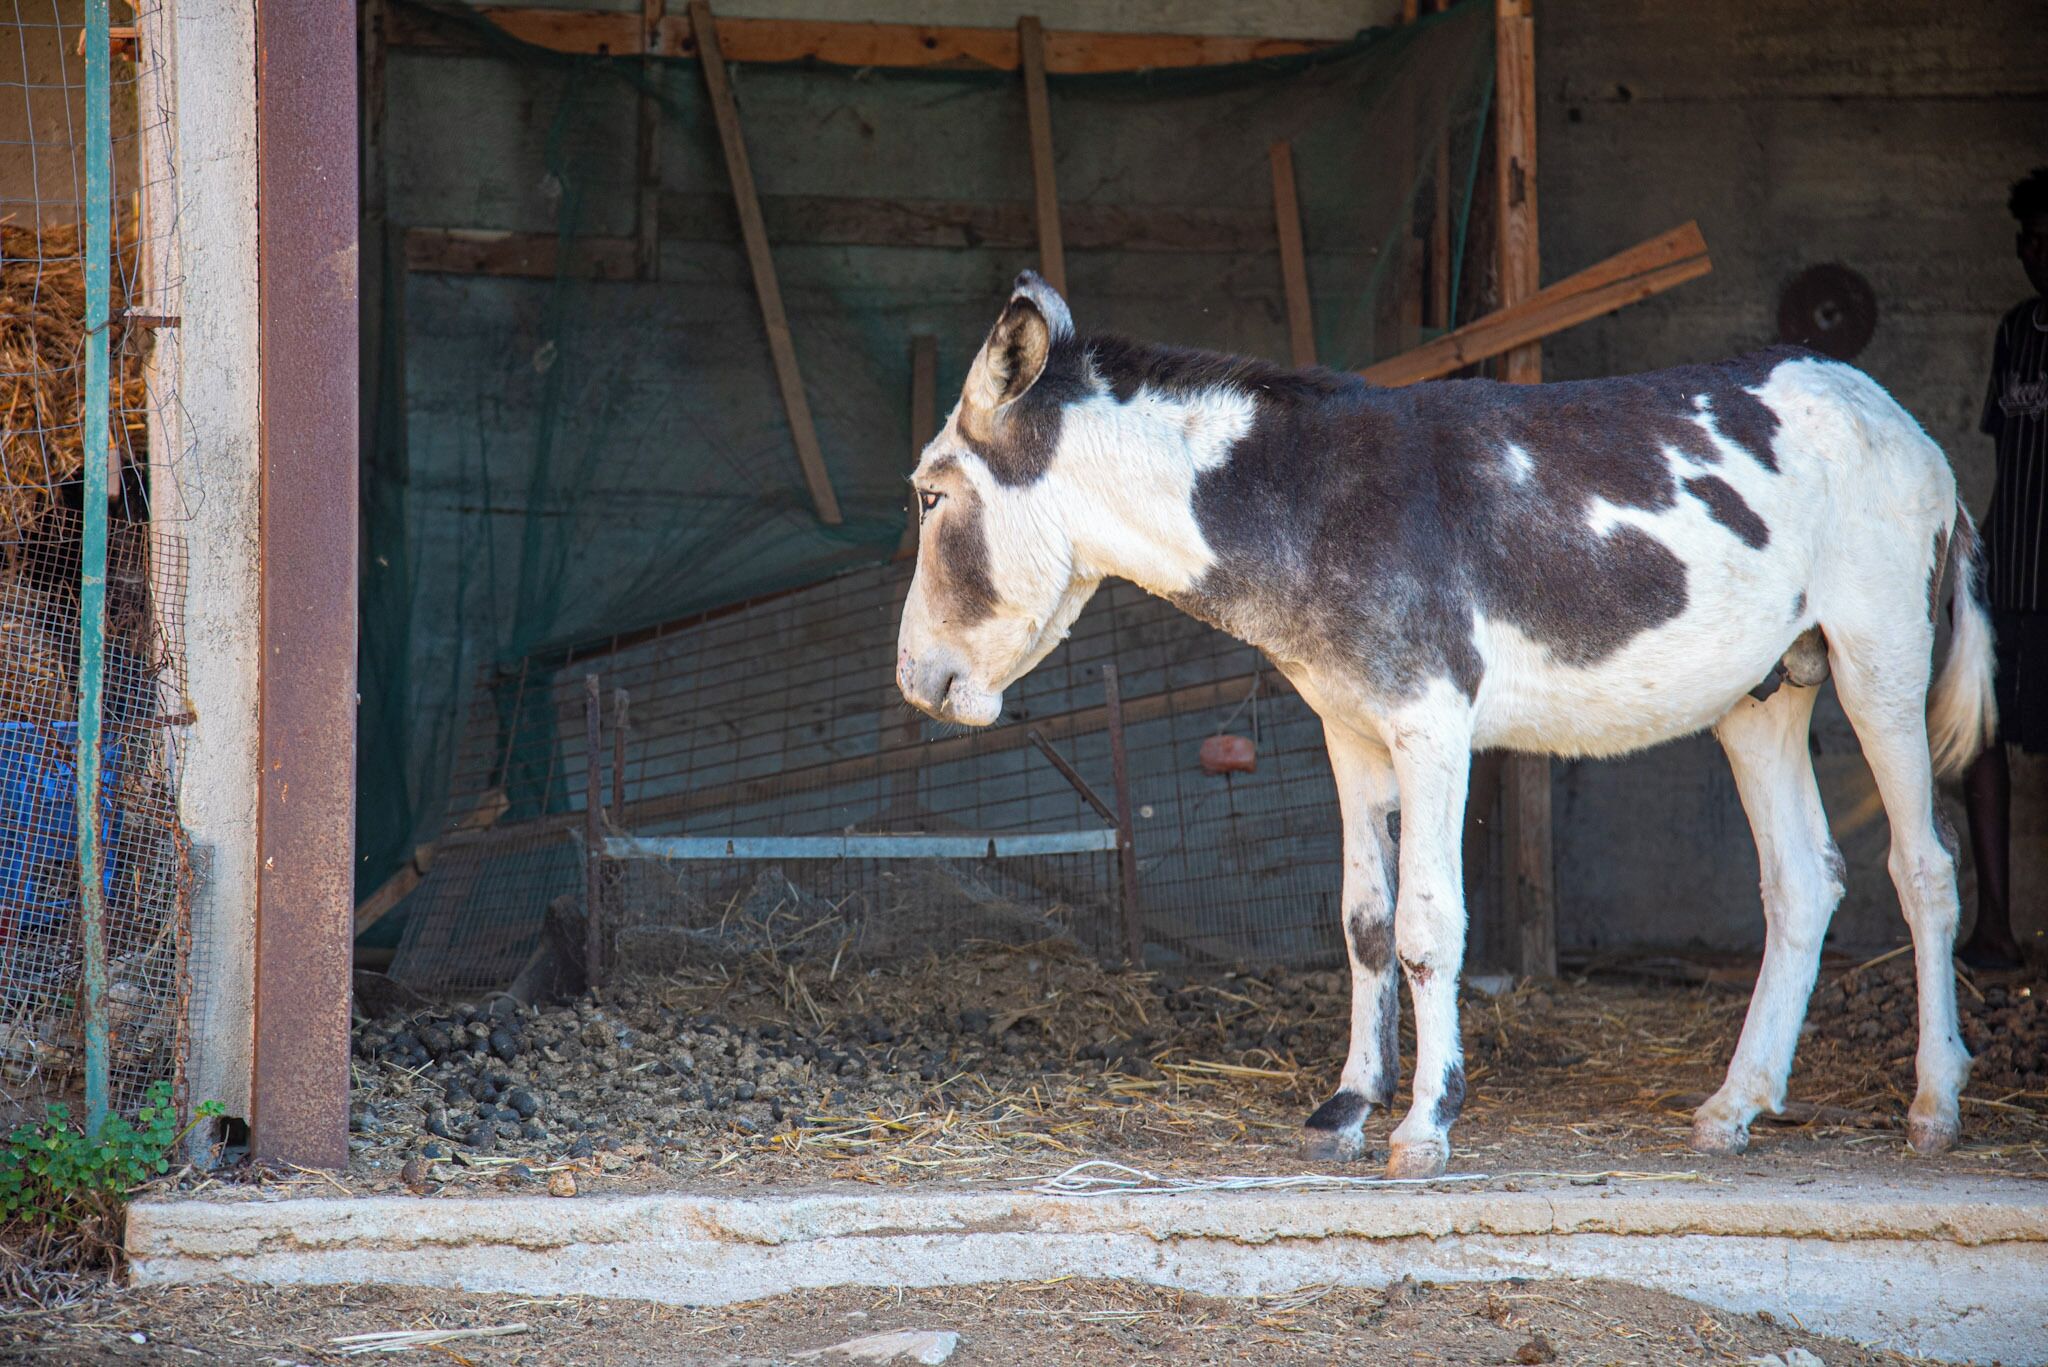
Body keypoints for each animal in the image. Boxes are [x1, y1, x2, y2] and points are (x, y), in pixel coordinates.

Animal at [893, 270, 1994, 1179]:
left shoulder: (1432, 722)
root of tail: (1893, 413)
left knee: (1925, 867)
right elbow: (1363, 924)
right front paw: (1346, 1106)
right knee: (1802, 880)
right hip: (1762, 691)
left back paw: (1933, 1105)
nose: (912, 680)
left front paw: (1425, 1122)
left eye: (928, 497)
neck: (1304, 505)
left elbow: (1429, 925)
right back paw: (1734, 1105)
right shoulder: (1346, 730)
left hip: (1879, 655)